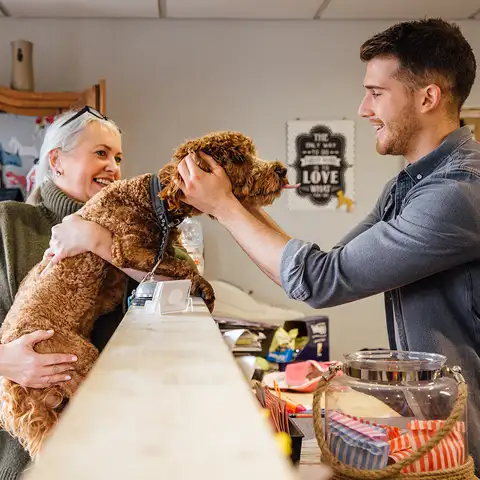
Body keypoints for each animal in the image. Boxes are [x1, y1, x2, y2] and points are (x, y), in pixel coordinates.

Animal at [0, 130, 290, 458]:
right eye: (240, 157)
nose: (282, 170)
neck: (154, 199)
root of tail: (12, 390)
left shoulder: (133, 270)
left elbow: (176, 261)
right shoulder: (127, 249)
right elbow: (182, 265)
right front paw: (204, 286)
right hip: (76, 359)